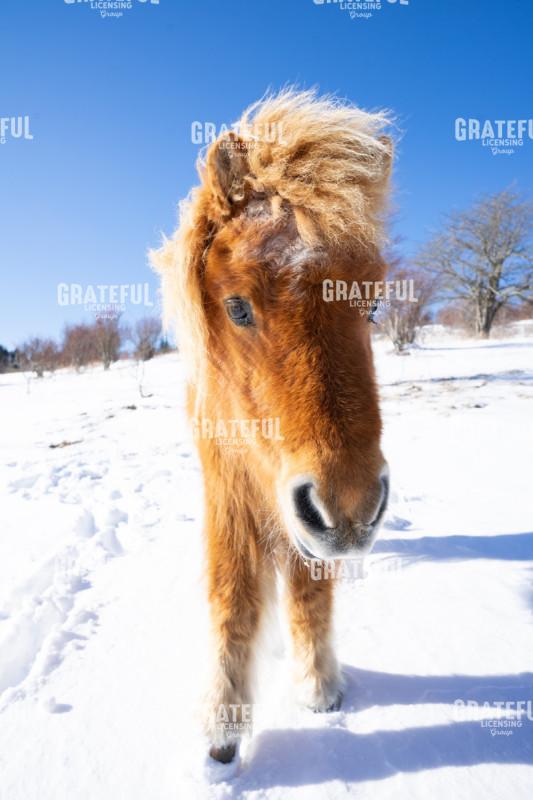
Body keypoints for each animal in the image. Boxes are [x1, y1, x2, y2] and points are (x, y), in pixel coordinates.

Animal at [151, 90, 393, 764]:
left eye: (372, 304)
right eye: (236, 306)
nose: (353, 506)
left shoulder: (305, 513)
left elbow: (310, 586)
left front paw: (318, 686)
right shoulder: (230, 483)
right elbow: (232, 590)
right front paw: (223, 729)